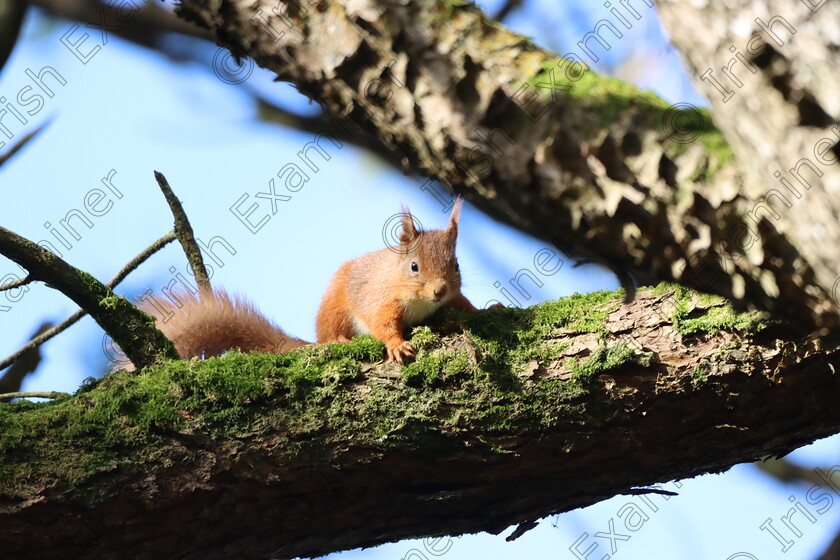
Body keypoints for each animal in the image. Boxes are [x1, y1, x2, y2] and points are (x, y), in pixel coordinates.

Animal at [138, 199, 492, 366]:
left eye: (456, 265)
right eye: (414, 267)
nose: (439, 290)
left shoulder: (451, 298)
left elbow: (463, 303)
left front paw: (485, 310)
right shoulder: (380, 298)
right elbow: (382, 323)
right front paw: (396, 345)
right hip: (334, 307)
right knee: (329, 334)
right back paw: (336, 340)